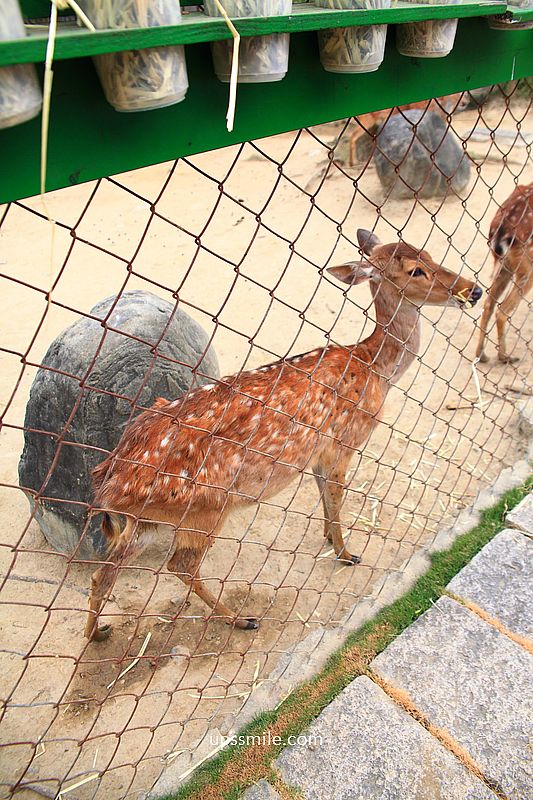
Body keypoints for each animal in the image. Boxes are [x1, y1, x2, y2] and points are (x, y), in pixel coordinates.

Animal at [84, 230, 482, 642]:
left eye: (429, 253)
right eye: (416, 270)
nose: (474, 290)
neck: (375, 369)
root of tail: (107, 480)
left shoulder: (317, 452)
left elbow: (324, 495)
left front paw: (329, 538)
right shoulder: (343, 440)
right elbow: (336, 498)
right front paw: (346, 553)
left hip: (146, 520)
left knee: (105, 572)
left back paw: (98, 633)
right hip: (205, 507)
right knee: (180, 563)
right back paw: (240, 618)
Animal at [475, 182, 533, 364]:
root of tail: (501, 231)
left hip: (505, 265)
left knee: (488, 304)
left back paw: (482, 355)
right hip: (526, 266)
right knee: (501, 310)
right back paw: (505, 357)